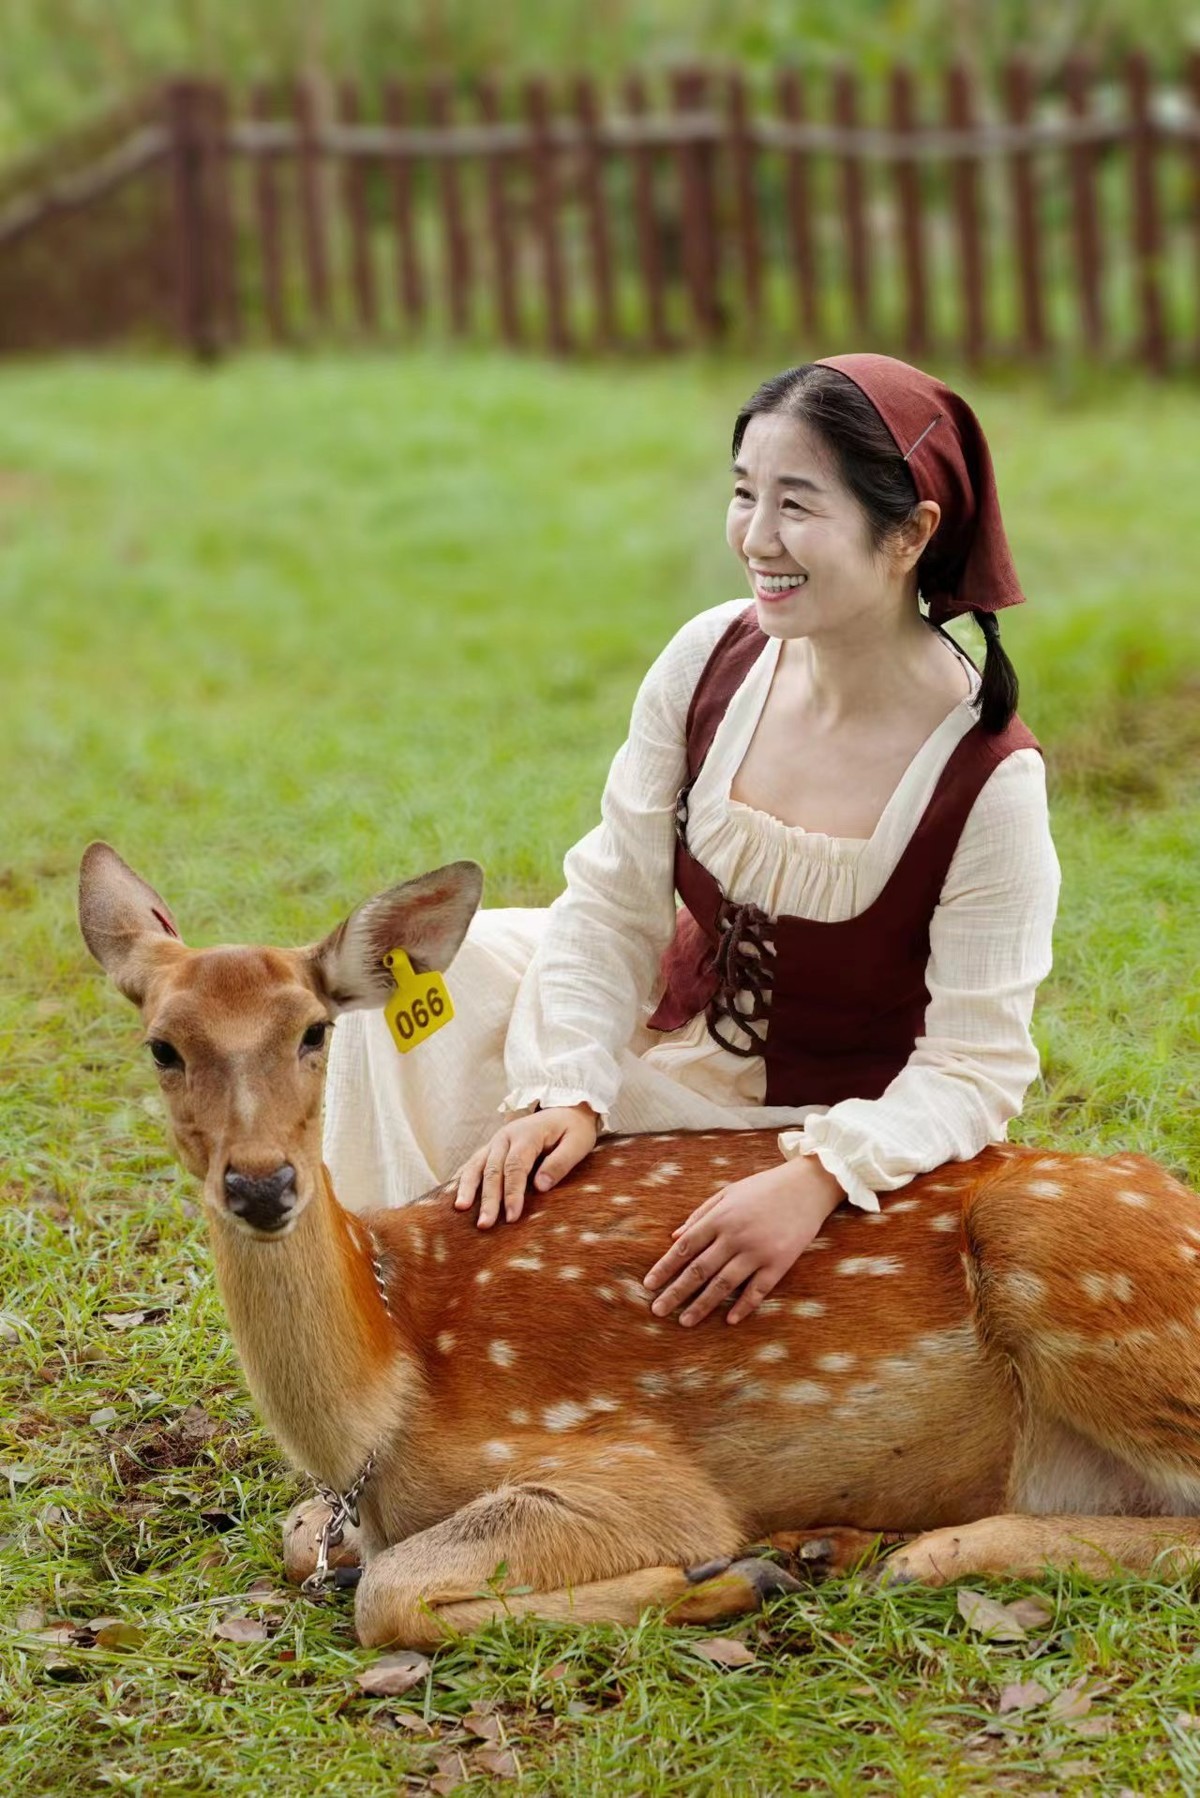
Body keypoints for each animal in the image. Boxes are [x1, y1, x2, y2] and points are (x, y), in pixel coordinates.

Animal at [78, 841, 1200, 1652]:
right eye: (162, 1046)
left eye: (315, 1031)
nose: (261, 1183)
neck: (384, 1398)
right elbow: (304, 1538)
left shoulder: (625, 1464)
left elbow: (388, 1595)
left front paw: (721, 1575)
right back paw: (831, 1541)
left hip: (1063, 1254)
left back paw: (907, 1553)